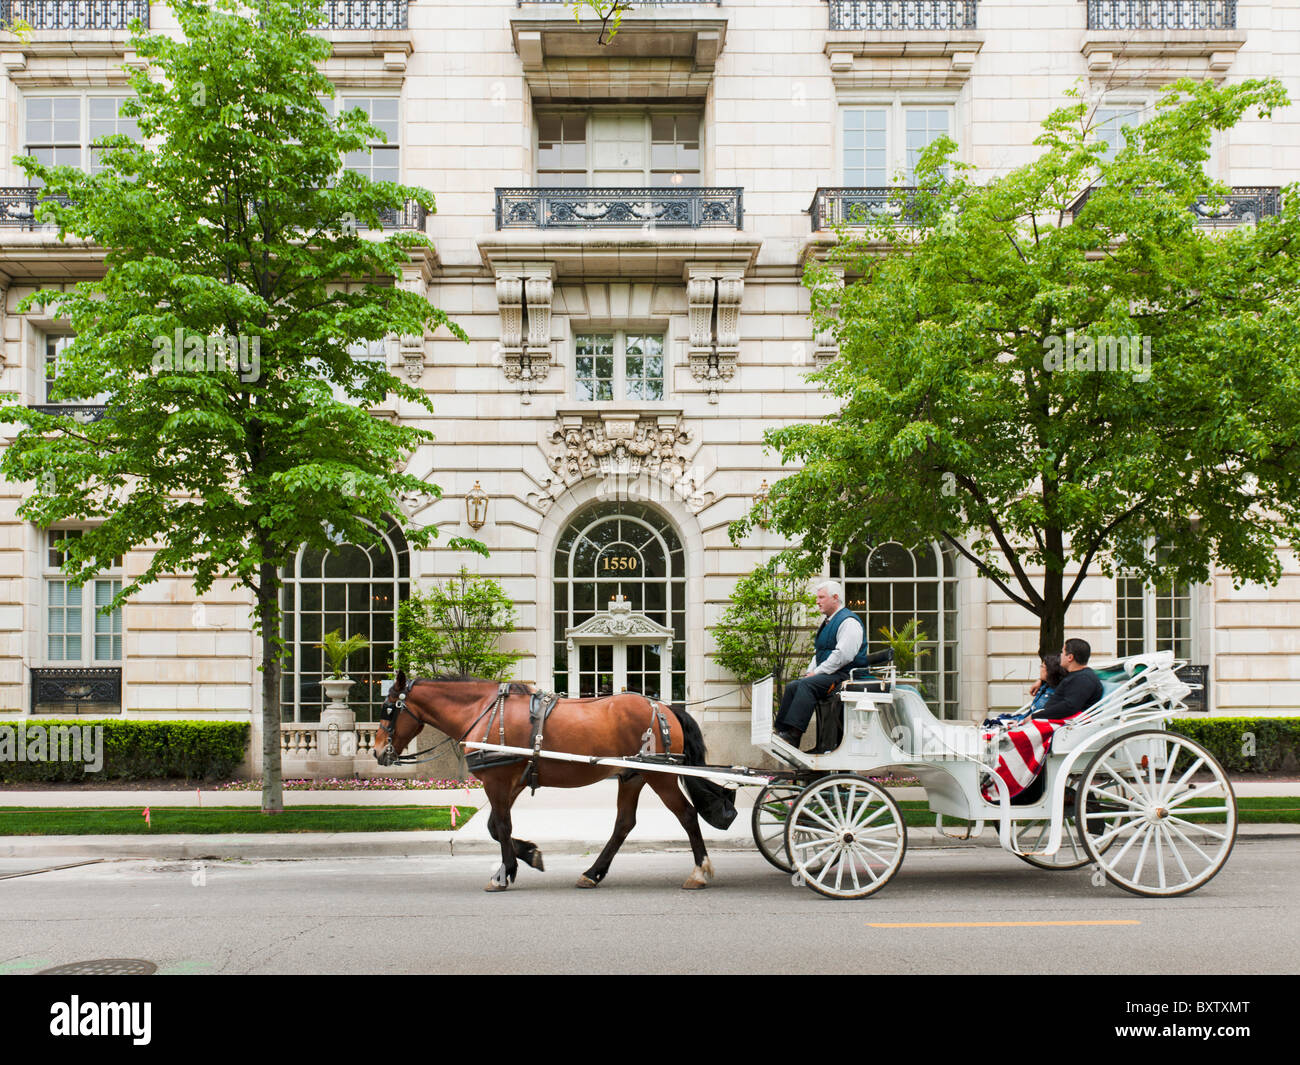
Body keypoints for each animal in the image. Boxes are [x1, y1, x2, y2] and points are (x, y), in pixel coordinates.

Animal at [377, 676, 738, 889]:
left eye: (389, 709)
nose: (379, 750)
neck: (485, 712)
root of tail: (662, 705)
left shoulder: (497, 780)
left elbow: (502, 827)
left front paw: (506, 872)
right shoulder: (513, 780)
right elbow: (496, 826)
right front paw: (528, 854)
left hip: (658, 775)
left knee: (687, 816)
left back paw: (698, 872)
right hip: (632, 775)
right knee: (624, 823)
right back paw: (592, 873)